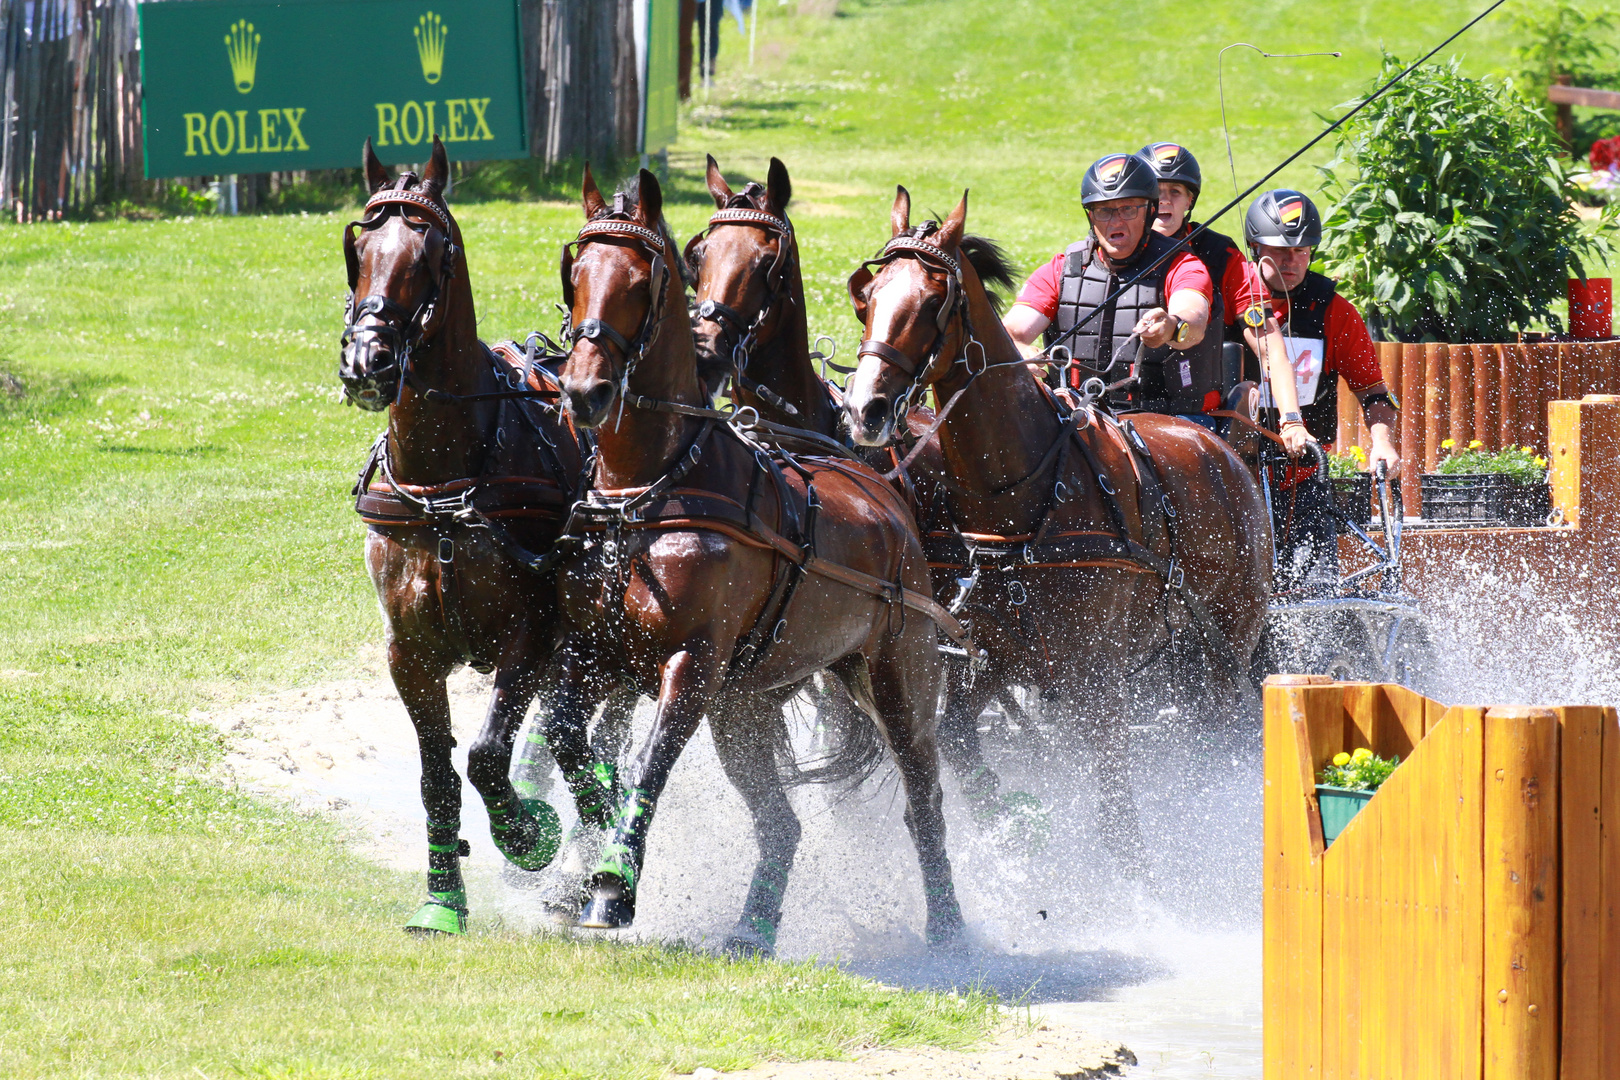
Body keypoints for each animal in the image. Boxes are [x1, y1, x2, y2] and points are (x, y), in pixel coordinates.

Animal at [341, 139, 618, 932]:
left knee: (578, 744)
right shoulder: (409, 652)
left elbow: (489, 756)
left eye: (431, 254)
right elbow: (437, 775)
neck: (448, 481)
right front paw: (442, 899)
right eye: (359, 248)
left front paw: (528, 831)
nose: (366, 361)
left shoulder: (532, 636)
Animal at [544, 169, 965, 952]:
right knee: (781, 823)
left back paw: (950, 929)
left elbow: (648, 762)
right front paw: (581, 857)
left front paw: (612, 885)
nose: (584, 391)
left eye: (643, 281)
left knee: (923, 799)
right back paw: (754, 927)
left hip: (897, 678)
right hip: (746, 705)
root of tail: (877, 483)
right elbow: (569, 740)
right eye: (575, 274)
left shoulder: (692, 665)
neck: (650, 489)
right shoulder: (594, 652)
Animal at [842, 187, 1270, 880]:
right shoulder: (994, 660)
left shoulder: (1095, 676)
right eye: (870, 294)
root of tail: (1225, 443)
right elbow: (961, 746)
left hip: (1227, 646)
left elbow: (1117, 809)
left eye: (934, 302)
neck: (1015, 496)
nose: (865, 409)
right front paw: (1009, 833)